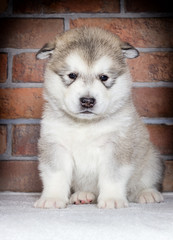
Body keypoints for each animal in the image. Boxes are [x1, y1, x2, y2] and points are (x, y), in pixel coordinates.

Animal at [33, 27, 164, 209]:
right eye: (72, 75)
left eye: (104, 77)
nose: (87, 101)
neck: (85, 125)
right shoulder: (55, 144)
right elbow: (55, 174)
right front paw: (52, 198)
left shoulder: (116, 145)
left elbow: (113, 175)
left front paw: (112, 199)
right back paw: (83, 195)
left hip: (151, 159)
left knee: (142, 183)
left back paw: (147, 193)